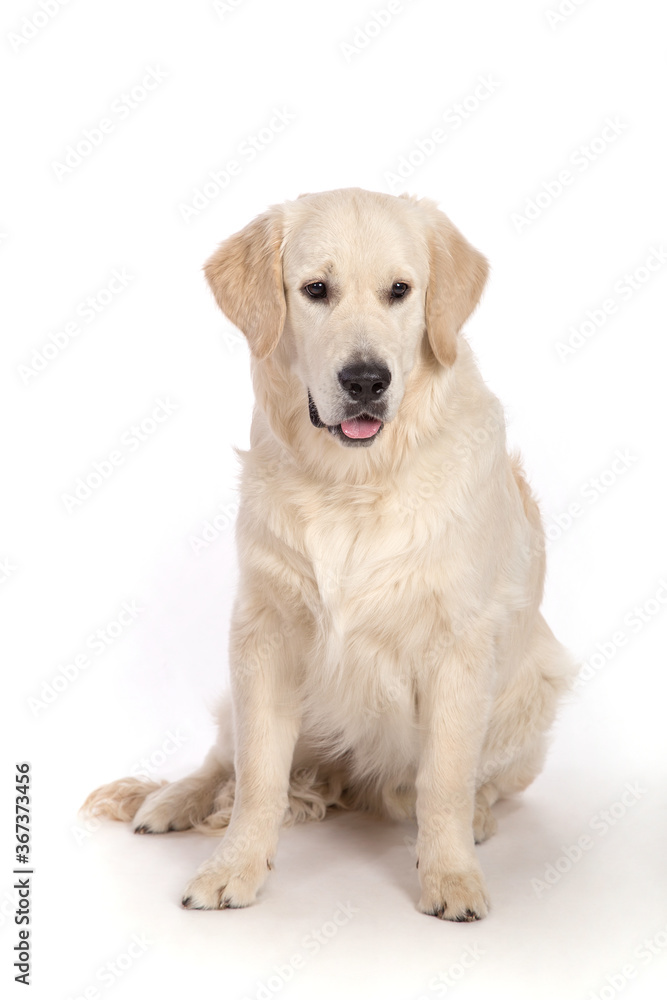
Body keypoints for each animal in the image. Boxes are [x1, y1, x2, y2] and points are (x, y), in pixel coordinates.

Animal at [83, 188, 576, 920]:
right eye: (316, 289)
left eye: (400, 290)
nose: (366, 379)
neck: (354, 482)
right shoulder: (264, 629)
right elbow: (257, 774)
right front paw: (232, 867)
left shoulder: (458, 645)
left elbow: (445, 778)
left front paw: (451, 875)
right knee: (222, 760)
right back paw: (170, 801)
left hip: (534, 688)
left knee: (470, 781)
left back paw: (477, 817)